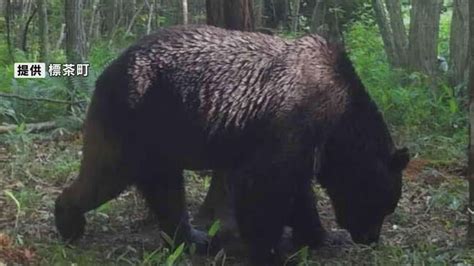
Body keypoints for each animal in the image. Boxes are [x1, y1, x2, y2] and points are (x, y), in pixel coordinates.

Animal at [53, 24, 410, 264]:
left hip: (160, 136)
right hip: (136, 117)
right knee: (108, 174)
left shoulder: (304, 145)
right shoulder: (294, 120)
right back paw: (68, 221)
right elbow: (264, 186)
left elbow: (298, 191)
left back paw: (193, 238)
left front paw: (321, 235)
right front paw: (270, 251)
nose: (370, 238)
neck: (339, 122)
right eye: (383, 204)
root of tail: (108, 69)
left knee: (164, 190)